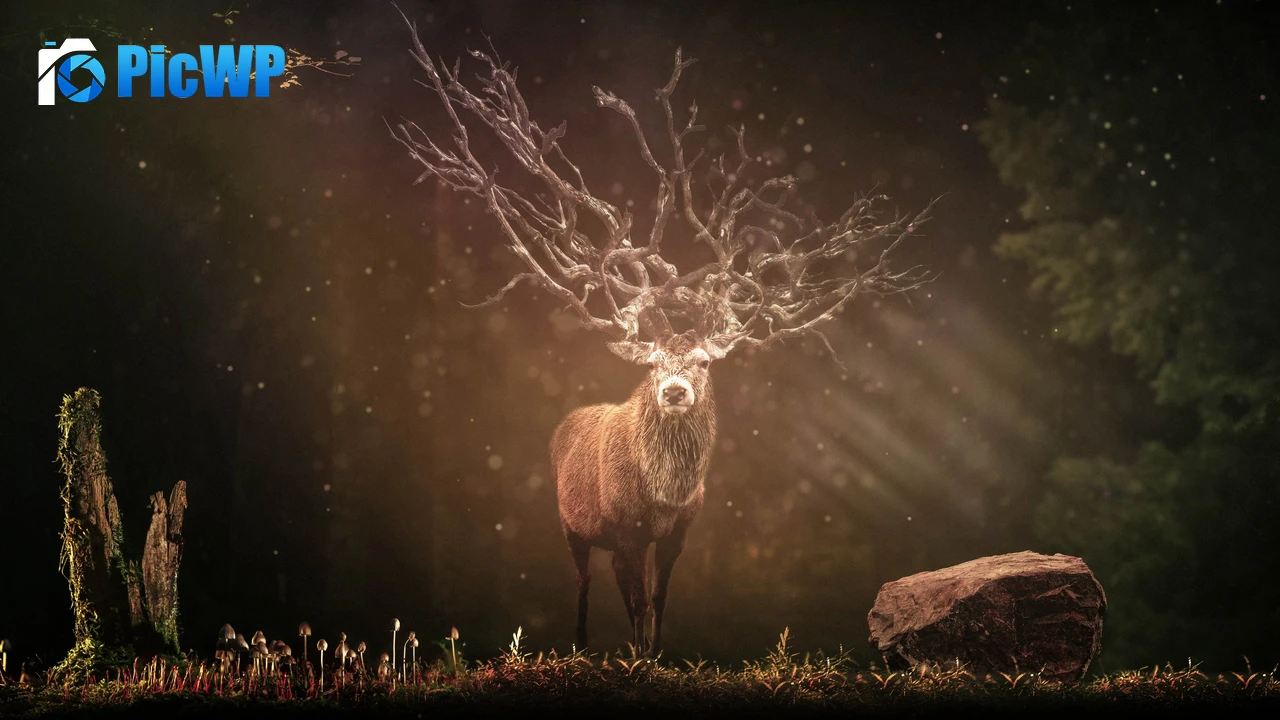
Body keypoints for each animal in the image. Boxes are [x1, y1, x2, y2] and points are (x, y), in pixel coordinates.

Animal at [389, 7, 935, 656]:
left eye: (702, 360)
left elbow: (658, 596)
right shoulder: (623, 527)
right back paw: (580, 644)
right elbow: (629, 598)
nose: (675, 390)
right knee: (582, 580)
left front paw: (655, 653)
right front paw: (634, 658)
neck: (664, 492)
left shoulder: (677, 531)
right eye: (652, 364)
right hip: (570, 523)